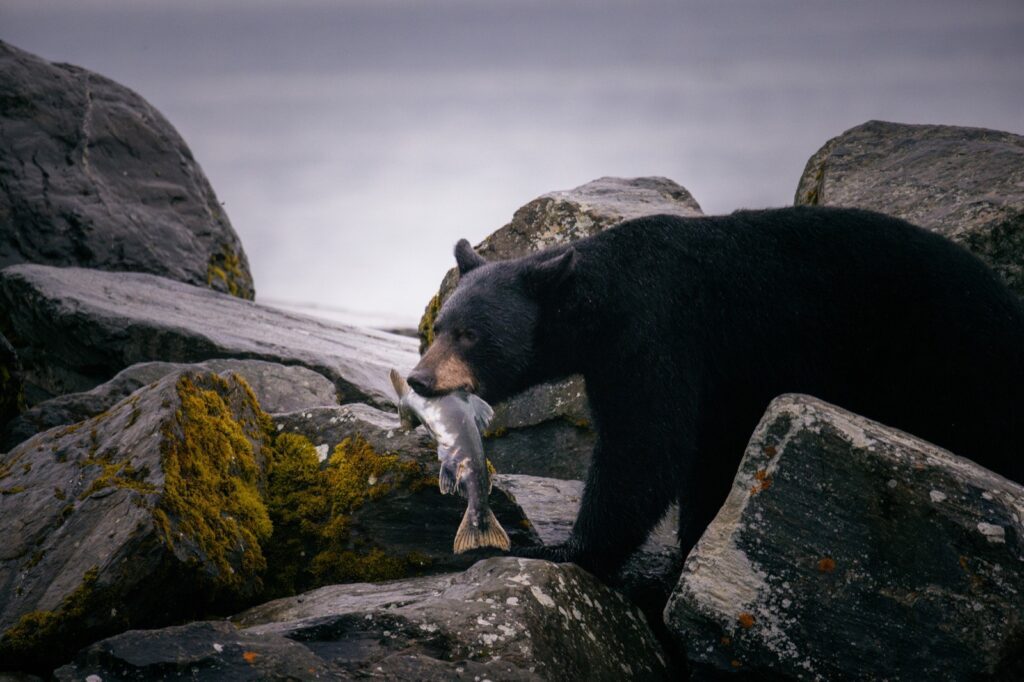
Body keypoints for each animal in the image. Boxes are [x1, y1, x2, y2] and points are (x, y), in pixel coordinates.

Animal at [407, 204, 1024, 577]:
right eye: (440, 327)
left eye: (470, 334)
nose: (418, 379)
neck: (602, 299)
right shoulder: (720, 380)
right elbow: (706, 457)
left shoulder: (659, 338)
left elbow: (646, 448)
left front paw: (562, 548)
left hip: (957, 366)